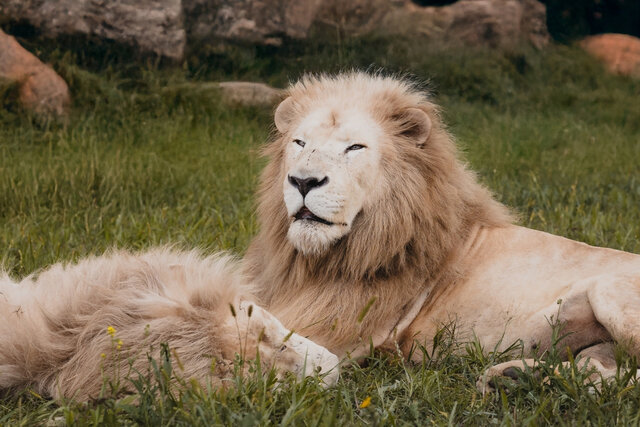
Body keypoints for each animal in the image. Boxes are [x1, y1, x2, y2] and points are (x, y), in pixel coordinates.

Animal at [243, 72, 640, 391]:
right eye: (300, 143)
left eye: (355, 147)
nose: (302, 181)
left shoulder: (341, 331)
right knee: (600, 367)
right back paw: (515, 378)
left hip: (612, 295)